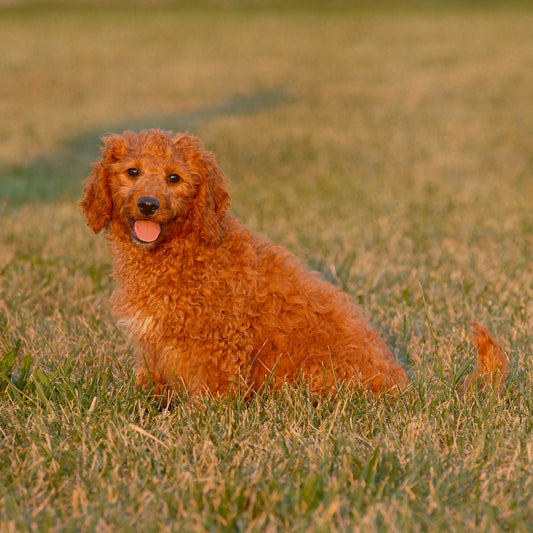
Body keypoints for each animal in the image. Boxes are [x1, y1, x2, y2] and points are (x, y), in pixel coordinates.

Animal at [79, 129, 508, 402]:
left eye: (174, 179)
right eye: (132, 172)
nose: (148, 205)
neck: (178, 249)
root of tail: (404, 392)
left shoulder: (218, 344)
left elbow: (210, 398)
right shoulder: (154, 347)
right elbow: (150, 382)